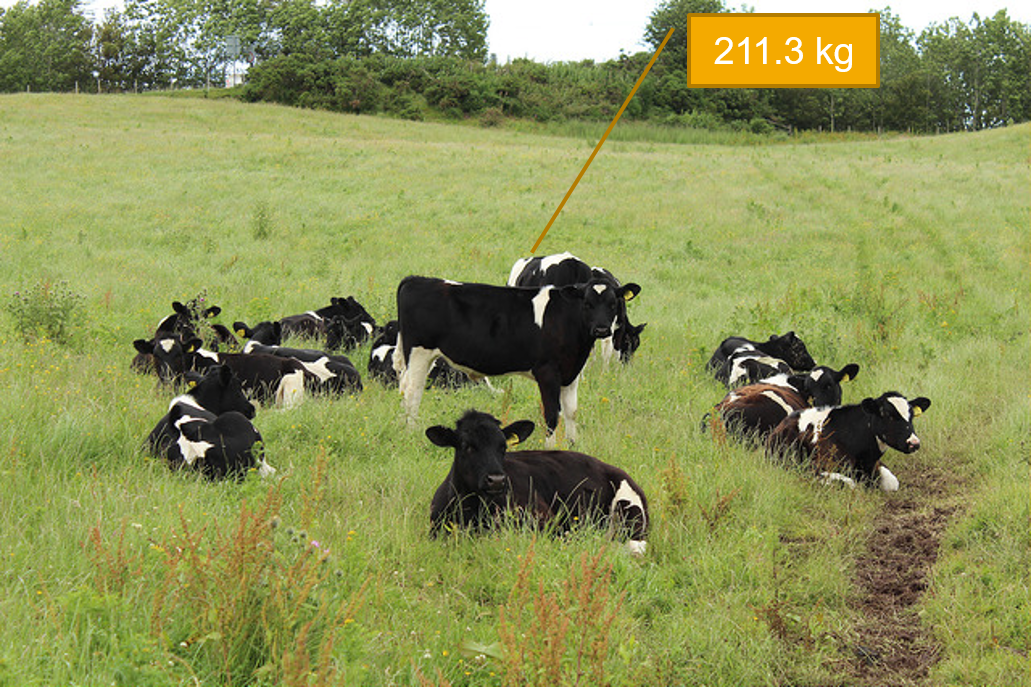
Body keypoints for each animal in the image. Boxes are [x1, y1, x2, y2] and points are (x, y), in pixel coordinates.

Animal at [391, 276, 635, 447]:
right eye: (587, 303)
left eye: (613, 303)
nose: (601, 329)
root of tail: (416, 279)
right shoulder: (547, 372)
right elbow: (551, 414)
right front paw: (551, 448)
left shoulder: (571, 372)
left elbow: (571, 411)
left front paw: (573, 445)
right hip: (419, 353)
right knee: (413, 393)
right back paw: (411, 434)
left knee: (404, 390)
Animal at [767, 387, 936, 488]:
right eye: (887, 414)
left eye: (912, 415)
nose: (914, 443)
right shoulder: (818, 465)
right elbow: (850, 483)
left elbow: (892, 482)